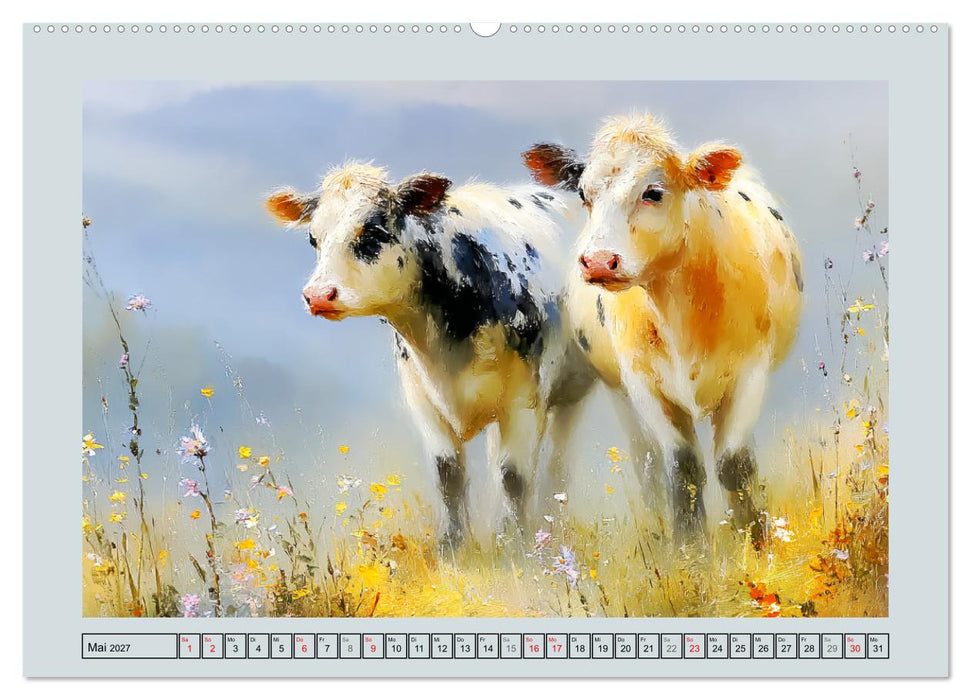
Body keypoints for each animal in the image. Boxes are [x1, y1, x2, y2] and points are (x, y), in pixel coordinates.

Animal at [265, 162, 596, 545]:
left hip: (570, 392)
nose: (318, 295)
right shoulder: (421, 397)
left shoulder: (524, 399)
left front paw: (515, 543)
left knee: (556, 462)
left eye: (372, 233)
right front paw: (452, 543)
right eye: (313, 238)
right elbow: (447, 473)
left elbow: (514, 475)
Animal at [523, 114, 803, 546]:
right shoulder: (643, 382)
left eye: (652, 192)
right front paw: (690, 546)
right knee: (647, 461)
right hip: (619, 390)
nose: (599, 262)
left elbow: (735, 463)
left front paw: (755, 540)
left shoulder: (750, 370)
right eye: (585, 194)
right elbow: (682, 466)